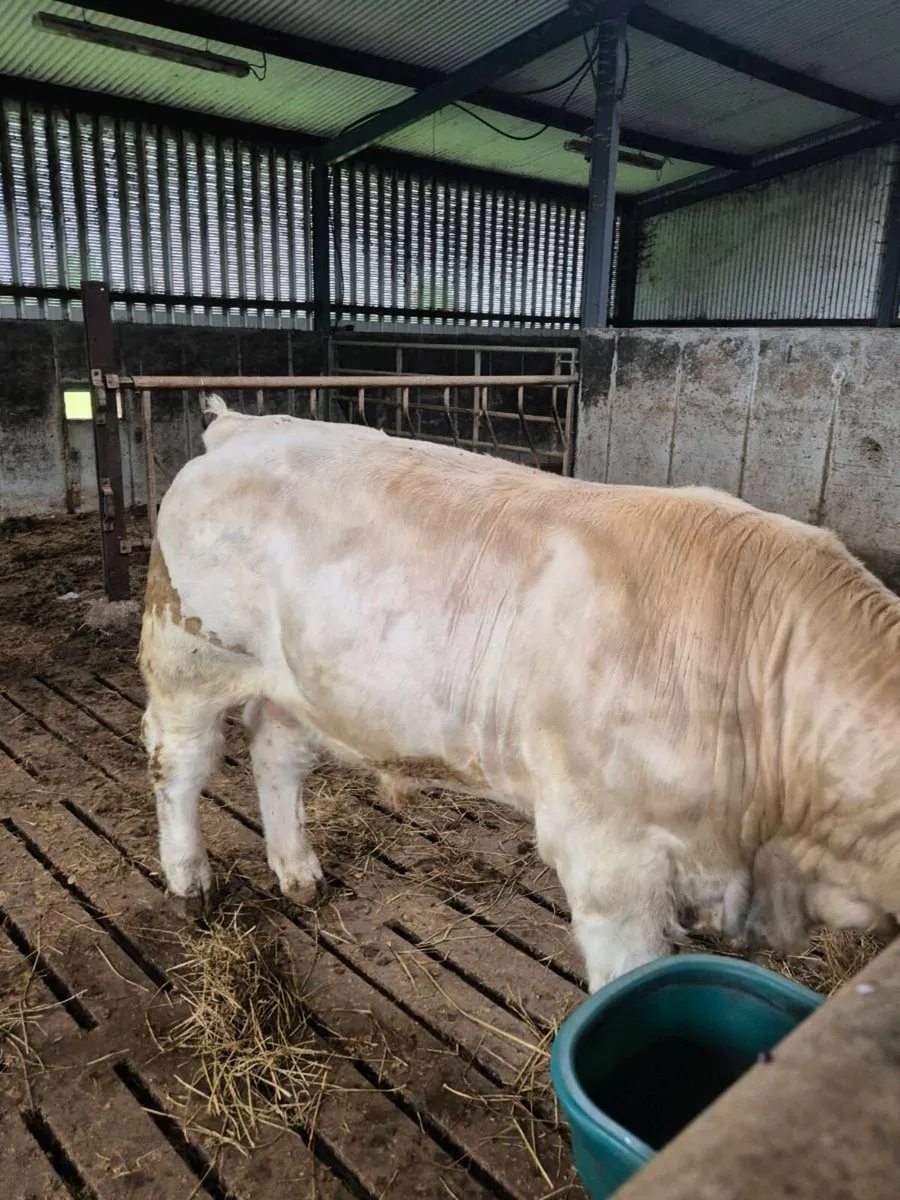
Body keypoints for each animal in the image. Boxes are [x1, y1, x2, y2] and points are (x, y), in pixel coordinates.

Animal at [139, 394, 899, 991]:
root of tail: (242, 426)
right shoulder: (607, 853)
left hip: (298, 681)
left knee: (276, 755)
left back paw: (299, 872)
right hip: (189, 659)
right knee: (179, 767)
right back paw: (188, 882)